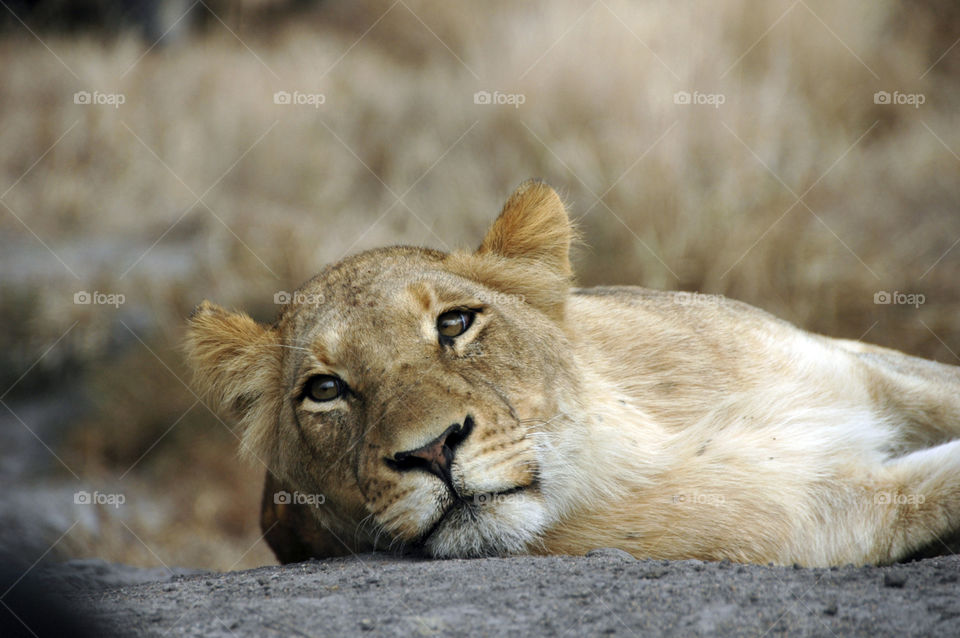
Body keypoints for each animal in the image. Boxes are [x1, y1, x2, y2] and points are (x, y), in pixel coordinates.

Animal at [185, 180, 960, 566]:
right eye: (326, 390)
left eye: (454, 324)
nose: (431, 451)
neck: (640, 433)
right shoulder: (820, 518)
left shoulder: (865, 366)